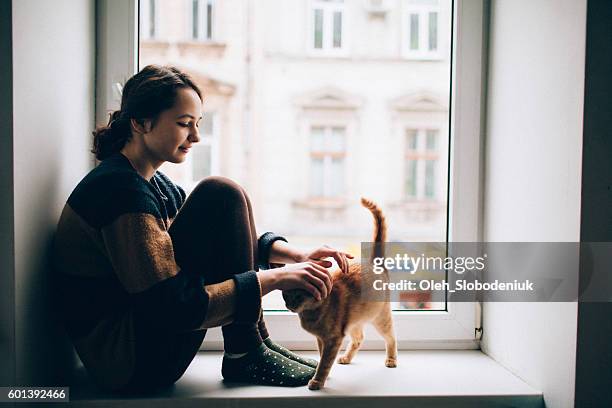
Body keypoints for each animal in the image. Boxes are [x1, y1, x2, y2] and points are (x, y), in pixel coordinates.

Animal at [282, 199, 396, 390]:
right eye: (286, 295)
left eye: (299, 296)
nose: (289, 305)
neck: (313, 312)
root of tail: (374, 262)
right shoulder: (322, 339)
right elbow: (322, 357)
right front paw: (323, 377)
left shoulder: (333, 339)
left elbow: (325, 362)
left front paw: (318, 381)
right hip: (355, 322)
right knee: (359, 339)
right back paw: (347, 358)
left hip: (381, 319)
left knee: (391, 338)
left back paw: (391, 360)